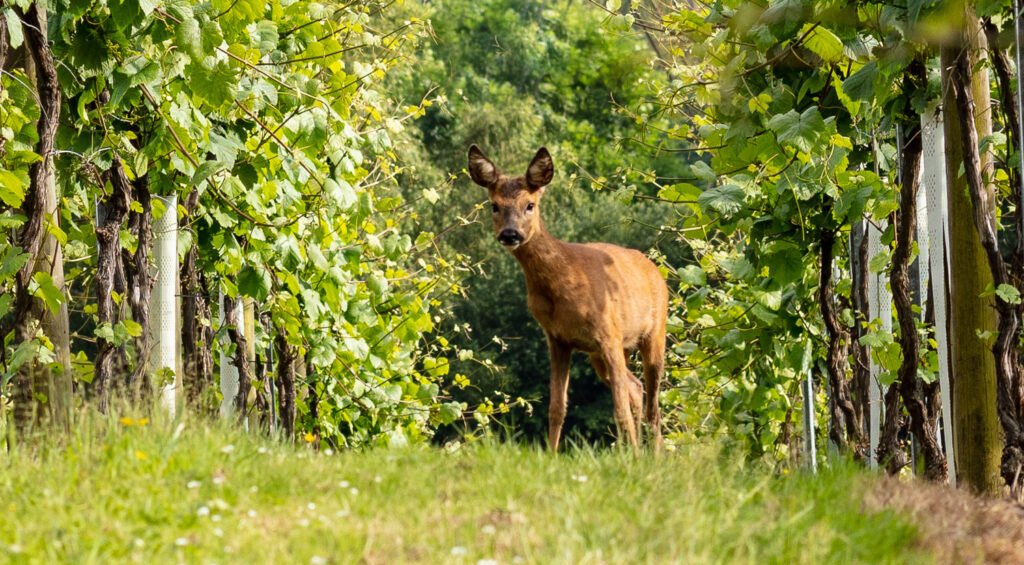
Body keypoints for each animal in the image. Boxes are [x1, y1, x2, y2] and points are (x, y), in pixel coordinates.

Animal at [468, 145, 668, 452]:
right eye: (494, 205)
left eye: (530, 205)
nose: (510, 234)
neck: (562, 287)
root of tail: (654, 269)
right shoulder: (558, 338)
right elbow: (556, 407)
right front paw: (551, 454)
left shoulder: (608, 333)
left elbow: (618, 409)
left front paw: (634, 457)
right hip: (603, 353)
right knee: (635, 388)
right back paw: (632, 450)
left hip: (654, 333)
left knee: (652, 405)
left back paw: (651, 455)